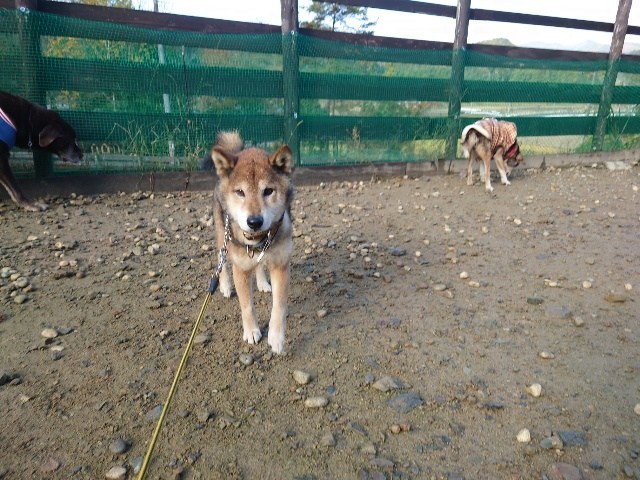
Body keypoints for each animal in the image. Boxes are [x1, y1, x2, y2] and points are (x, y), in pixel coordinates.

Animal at [209, 131, 294, 352]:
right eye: (240, 192)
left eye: (268, 191)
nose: (254, 221)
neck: (259, 238)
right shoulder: (240, 269)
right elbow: (246, 305)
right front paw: (251, 332)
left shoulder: (281, 265)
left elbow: (279, 306)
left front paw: (276, 337)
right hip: (222, 233)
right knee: (221, 258)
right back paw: (225, 286)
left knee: (259, 264)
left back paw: (263, 282)